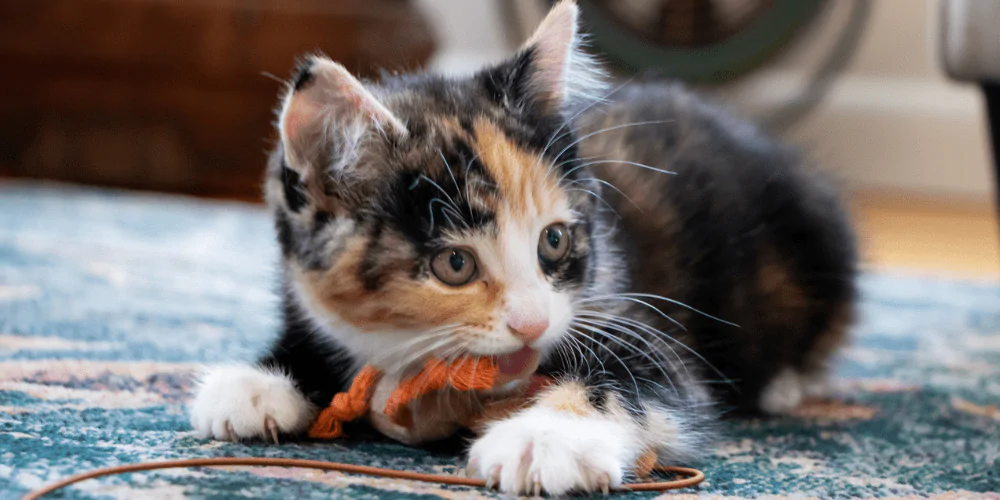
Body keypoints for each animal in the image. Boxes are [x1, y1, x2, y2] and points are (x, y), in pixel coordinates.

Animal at [189, 0, 860, 492]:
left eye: (554, 241)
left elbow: (637, 379)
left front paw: (546, 438)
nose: (533, 323)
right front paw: (260, 382)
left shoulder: (629, 317)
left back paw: (784, 383)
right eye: (455, 263)